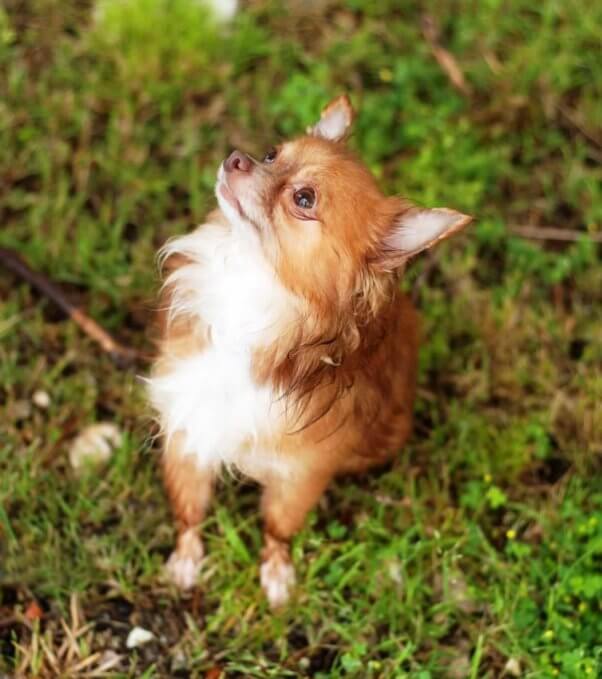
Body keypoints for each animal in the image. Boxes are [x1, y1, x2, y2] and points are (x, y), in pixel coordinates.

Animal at [148, 94, 472, 604]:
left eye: (304, 199)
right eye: (271, 154)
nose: (237, 157)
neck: (250, 292)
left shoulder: (299, 475)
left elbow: (278, 526)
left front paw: (277, 573)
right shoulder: (190, 425)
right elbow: (190, 508)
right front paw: (185, 559)